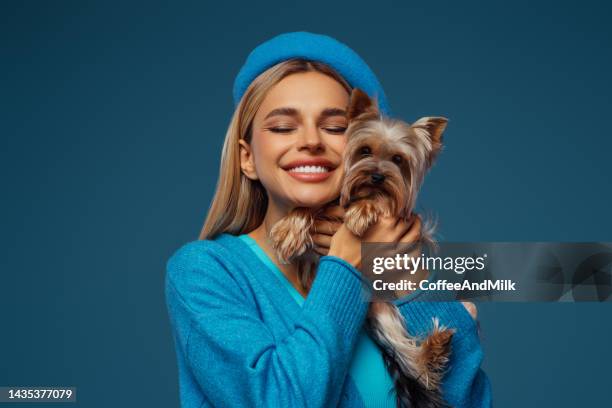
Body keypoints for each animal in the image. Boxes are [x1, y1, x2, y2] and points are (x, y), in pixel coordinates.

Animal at [270, 87, 452, 406]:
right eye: (365, 151)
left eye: (398, 159)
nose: (377, 176)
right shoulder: (328, 205)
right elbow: (307, 206)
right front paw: (288, 231)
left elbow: (377, 206)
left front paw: (363, 211)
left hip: (384, 311)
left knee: (411, 357)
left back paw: (435, 347)